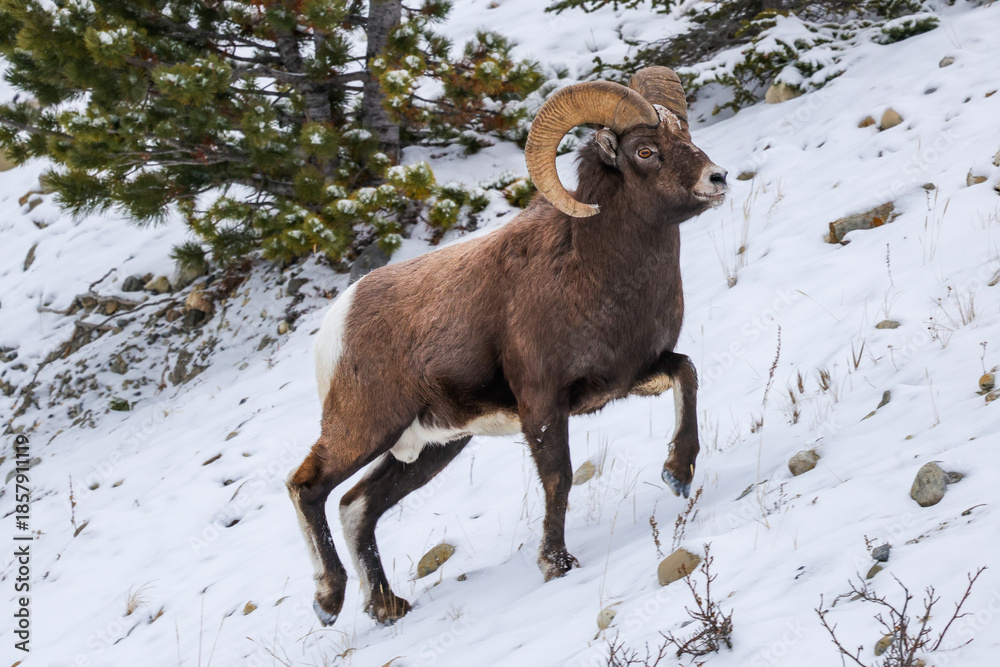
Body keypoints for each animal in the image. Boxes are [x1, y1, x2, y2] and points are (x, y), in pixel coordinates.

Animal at [287, 66, 728, 626]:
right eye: (645, 151)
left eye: (685, 135)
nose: (717, 179)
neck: (591, 272)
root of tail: (335, 324)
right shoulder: (542, 405)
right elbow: (559, 478)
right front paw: (556, 563)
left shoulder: (631, 376)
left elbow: (687, 373)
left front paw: (678, 474)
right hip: (362, 430)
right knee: (308, 486)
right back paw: (329, 601)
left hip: (431, 447)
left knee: (356, 506)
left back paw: (387, 608)